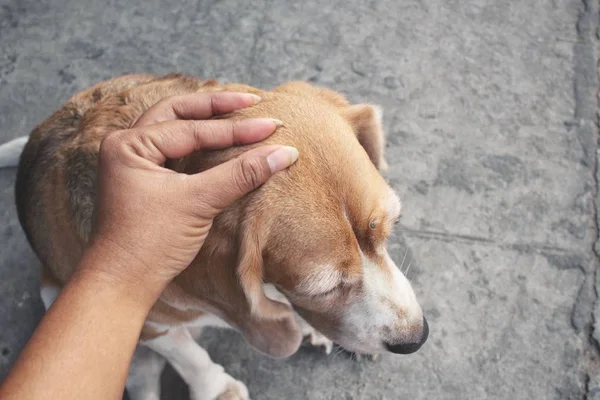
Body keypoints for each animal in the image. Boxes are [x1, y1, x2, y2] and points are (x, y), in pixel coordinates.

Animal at [4, 74, 426, 400]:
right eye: (324, 287)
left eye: (392, 228)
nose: (416, 339)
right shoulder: (152, 323)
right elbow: (189, 356)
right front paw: (217, 388)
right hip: (60, 299)